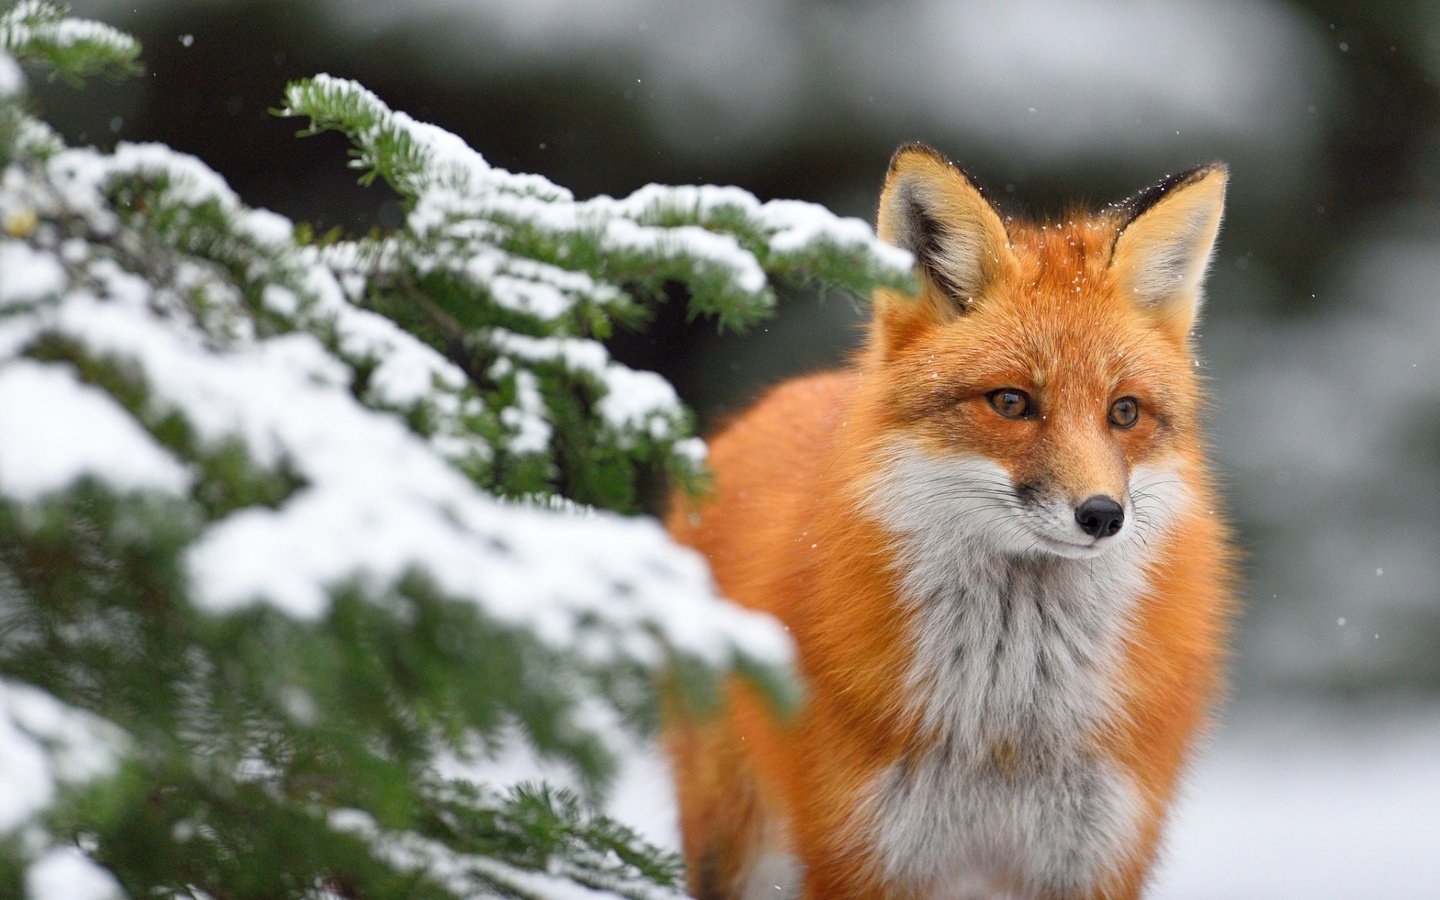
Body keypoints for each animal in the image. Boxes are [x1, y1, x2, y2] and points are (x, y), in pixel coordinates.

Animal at [662, 141, 1238, 898]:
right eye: (1012, 402)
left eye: (1124, 412)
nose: (1102, 515)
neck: (1009, 726)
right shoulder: (863, 853)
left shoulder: (1093, 857)